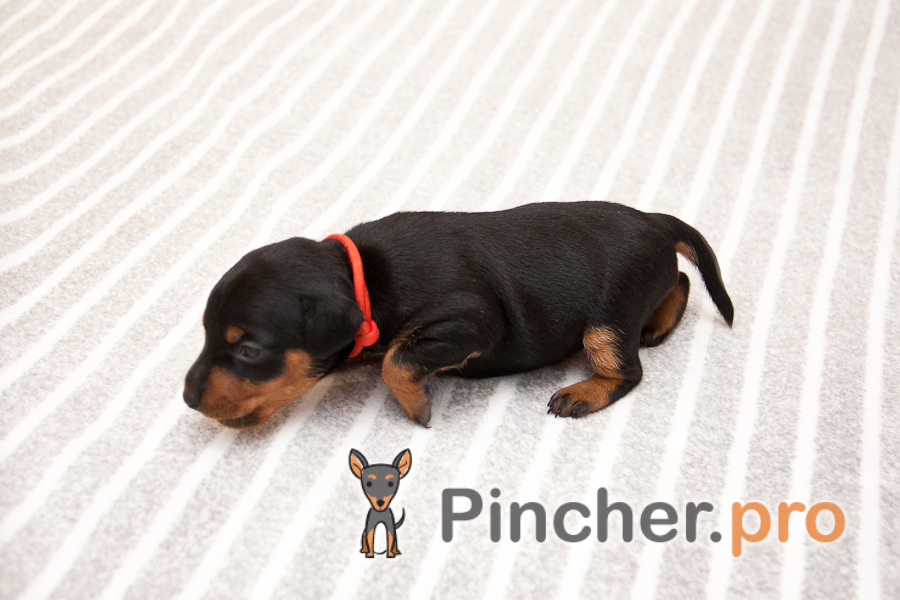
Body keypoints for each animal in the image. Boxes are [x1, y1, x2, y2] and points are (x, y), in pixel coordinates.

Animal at [183, 201, 733, 428]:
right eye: (206, 334)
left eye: (249, 350)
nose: (187, 398)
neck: (363, 278)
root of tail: (657, 222)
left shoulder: (470, 320)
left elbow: (397, 361)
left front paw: (416, 409)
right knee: (681, 282)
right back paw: (657, 324)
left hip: (606, 316)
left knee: (627, 369)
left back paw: (581, 393)